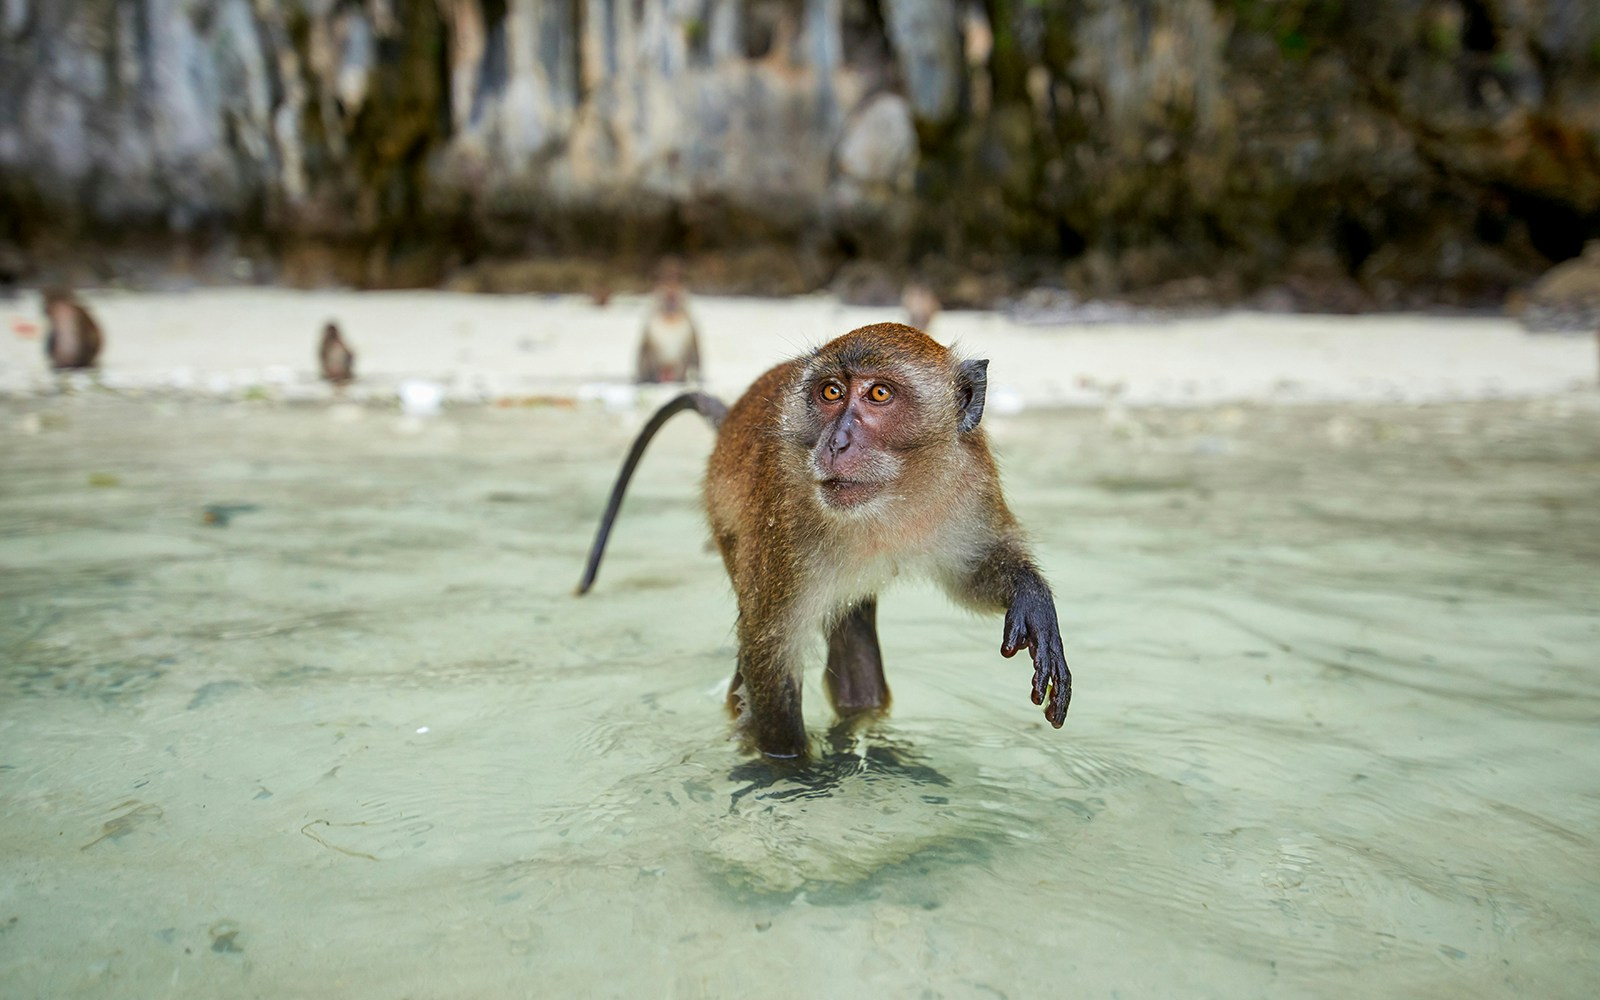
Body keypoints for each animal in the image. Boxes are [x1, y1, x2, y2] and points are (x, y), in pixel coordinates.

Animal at [578, 322, 1070, 759]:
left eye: (879, 393)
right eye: (831, 392)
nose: (835, 442)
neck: (891, 497)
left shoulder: (971, 480)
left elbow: (972, 572)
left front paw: (1029, 595)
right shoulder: (785, 519)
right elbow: (768, 651)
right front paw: (794, 772)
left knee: (854, 635)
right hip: (728, 524)